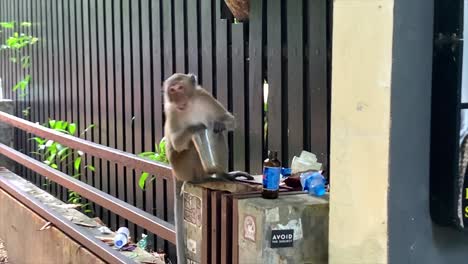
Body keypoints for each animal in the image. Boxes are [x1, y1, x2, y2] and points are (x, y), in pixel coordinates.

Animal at [164, 72, 254, 264]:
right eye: (172, 90)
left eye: (180, 88)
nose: (178, 99)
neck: (188, 104)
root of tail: (175, 173)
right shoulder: (171, 111)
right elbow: (177, 143)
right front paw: (196, 126)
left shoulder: (204, 96)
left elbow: (229, 120)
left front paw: (220, 124)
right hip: (182, 166)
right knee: (190, 145)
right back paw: (200, 178)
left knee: (218, 134)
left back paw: (222, 174)